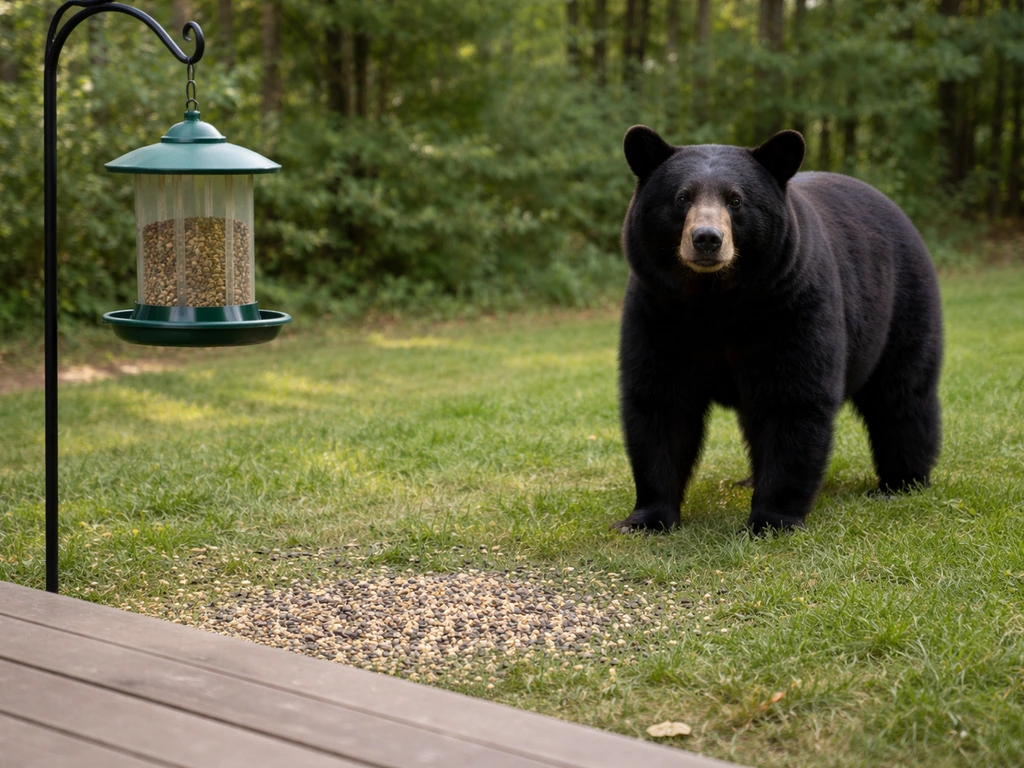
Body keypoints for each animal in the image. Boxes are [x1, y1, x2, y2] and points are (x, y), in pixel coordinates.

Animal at [615, 126, 943, 534]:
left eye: (736, 200)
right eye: (681, 198)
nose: (707, 238)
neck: (715, 301)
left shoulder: (792, 305)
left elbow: (792, 398)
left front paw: (772, 519)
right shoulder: (659, 310)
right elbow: (660, 400)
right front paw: (647, 517)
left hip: (902, 303)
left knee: (902, 393)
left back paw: (902, 481)